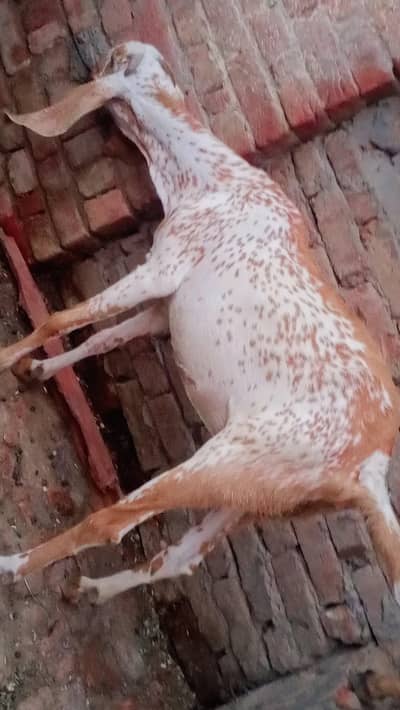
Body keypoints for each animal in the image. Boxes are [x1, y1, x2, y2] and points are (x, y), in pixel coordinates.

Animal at [0, 41, 399, 606]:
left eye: (117, 61)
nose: (92, 53)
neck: (211, 176)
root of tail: (369, 467)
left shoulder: (164, 266)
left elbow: (61, 317)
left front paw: (6, 359)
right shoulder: (163, 307)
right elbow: (101, 335)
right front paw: (36, 370)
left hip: (229, 457)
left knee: (114, 522)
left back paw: (11, 565)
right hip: (253, 495)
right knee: (179, 558)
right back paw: (92, 589)